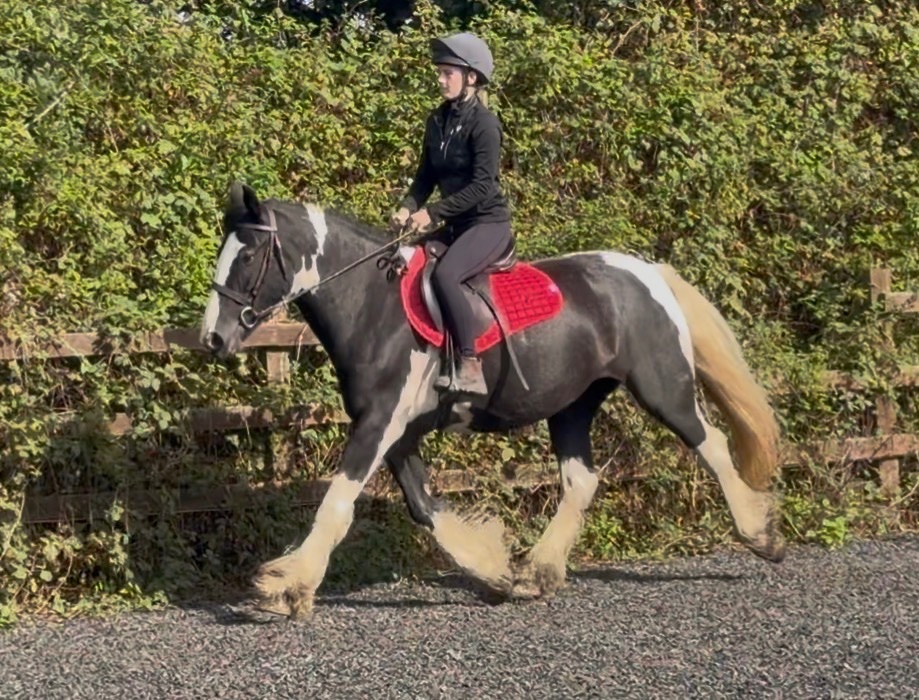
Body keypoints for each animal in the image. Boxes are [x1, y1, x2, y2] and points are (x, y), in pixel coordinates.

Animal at [200, 181, 785, 619]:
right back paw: (538, 574)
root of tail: (646, 273)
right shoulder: (395, 429)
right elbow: (425, 508)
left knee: (712, 446)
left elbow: (337, 504)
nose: (213, 338)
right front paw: (494, 571)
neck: (372, 305)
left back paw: (761, 536)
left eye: (248, 255)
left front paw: (287, 588)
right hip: (573, 405)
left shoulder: (378, 424)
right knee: (581, 481)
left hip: (663, 388)